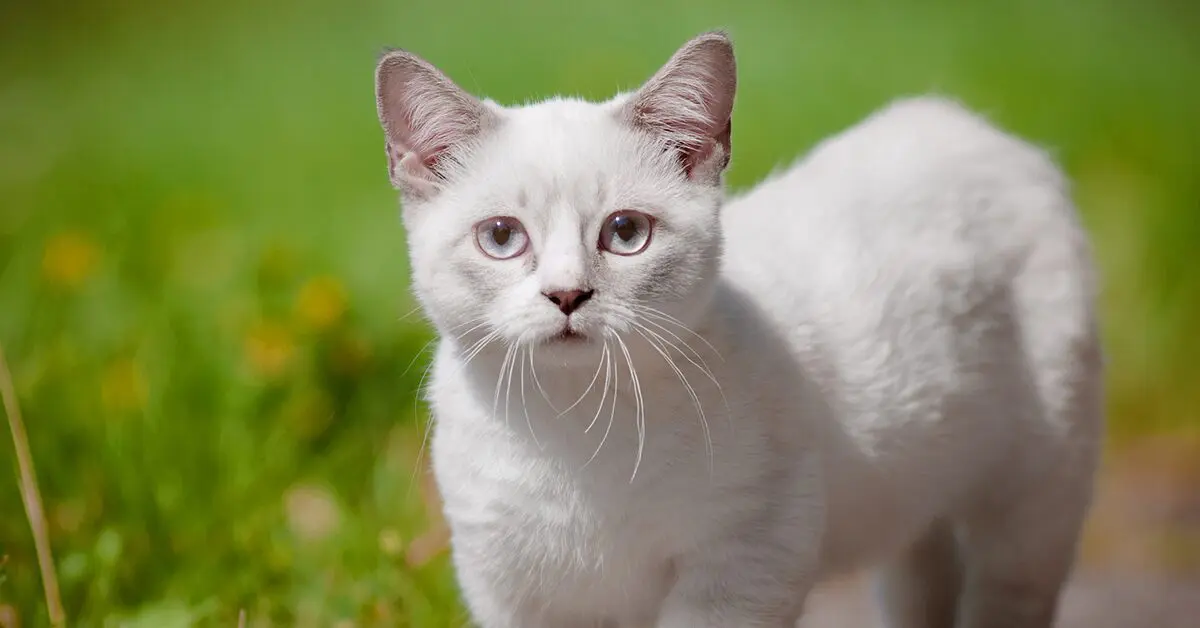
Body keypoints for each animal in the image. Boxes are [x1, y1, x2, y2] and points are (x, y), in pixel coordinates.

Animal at [374, 30, 1104, 628]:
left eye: (626, 233)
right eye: (502, 237)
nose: (567, 295)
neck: (571, 432)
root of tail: (963, 122)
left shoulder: (744, 558)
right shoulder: (512, 592)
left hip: (1031, 499)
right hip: (919, 501)